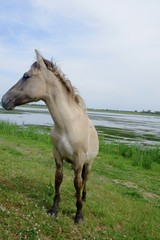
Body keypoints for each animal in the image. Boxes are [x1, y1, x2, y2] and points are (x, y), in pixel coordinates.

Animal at [1, 49, 99, 224]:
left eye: (26, 76)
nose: (4, 100)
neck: (67, 126)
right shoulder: (57, 155)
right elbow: (59, 179)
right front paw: (54, 209)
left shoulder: (79, 159)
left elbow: (78, 182)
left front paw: (79, 215)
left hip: (88, 163)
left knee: (85, 179)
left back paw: (83, 197)